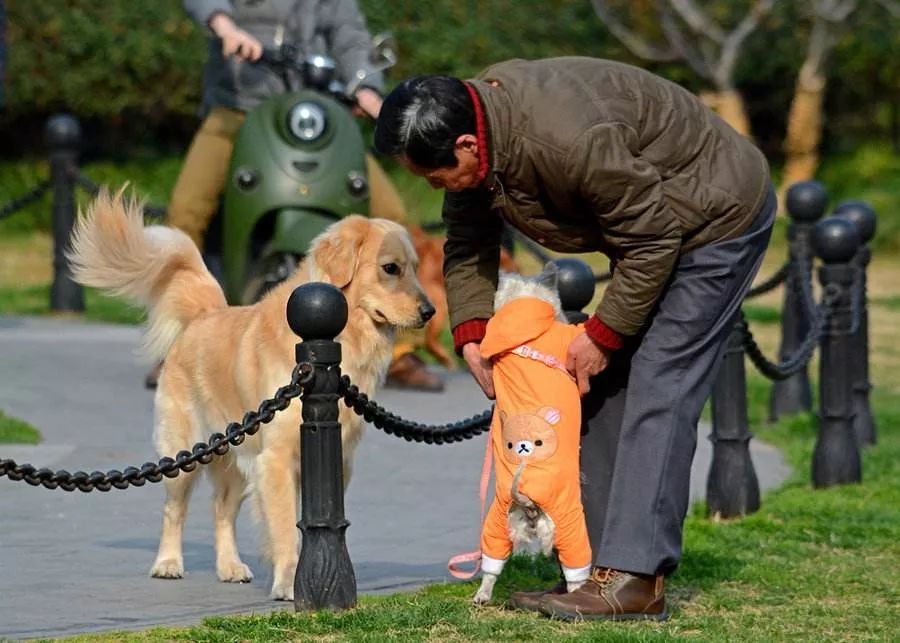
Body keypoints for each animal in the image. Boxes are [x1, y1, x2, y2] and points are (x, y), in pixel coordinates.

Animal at [67, 189, 432, 600]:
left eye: (415, 268)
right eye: (391, 268)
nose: (430, 311)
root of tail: (205, 313)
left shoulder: (337, 458)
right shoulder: (275, 459)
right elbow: (286, 527)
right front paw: (289, 581)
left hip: (235, 453)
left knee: (221, 510)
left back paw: (230, 566)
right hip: (184, 452)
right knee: (173, 510)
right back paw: (168, 563)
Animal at [472, 264, 592, 608]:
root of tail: (526, 497)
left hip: (498, 521)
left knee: (491, 564)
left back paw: (482, 595)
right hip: (570, 522)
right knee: (576, 566)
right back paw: (577, 597)